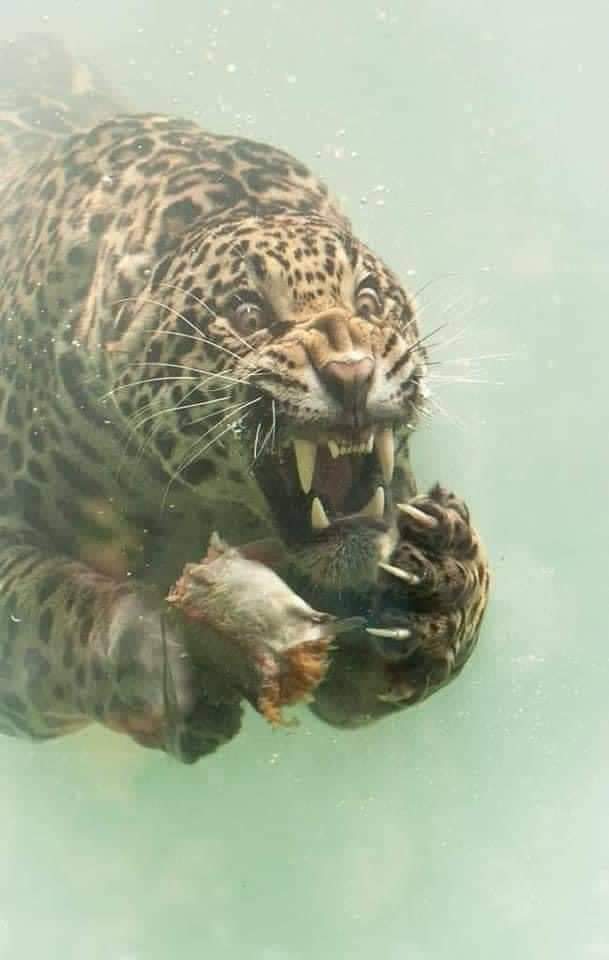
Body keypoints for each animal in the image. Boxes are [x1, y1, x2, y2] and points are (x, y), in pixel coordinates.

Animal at [0, 34, 489, 762]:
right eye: (248, 312)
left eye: (368, 299)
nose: (350, 372)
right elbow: (50, 610)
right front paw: (151, 658)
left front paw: (440, 583)